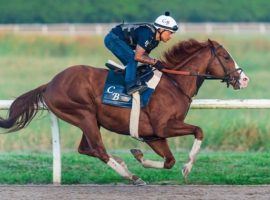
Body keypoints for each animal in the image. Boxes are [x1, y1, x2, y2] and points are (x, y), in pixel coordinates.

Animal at [0, 39, 249, 186]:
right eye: (226, 57)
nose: (244, 79)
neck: (174, 83)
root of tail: (50, 84)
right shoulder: (163, 126)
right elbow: (198, 131)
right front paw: (187, 168)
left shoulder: (153, 135)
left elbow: (168, 161)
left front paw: (138, 155)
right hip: (83, 114)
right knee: (99, 150)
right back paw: (131, 176)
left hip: (90, 120)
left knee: (85, 148)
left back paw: (124, 164)